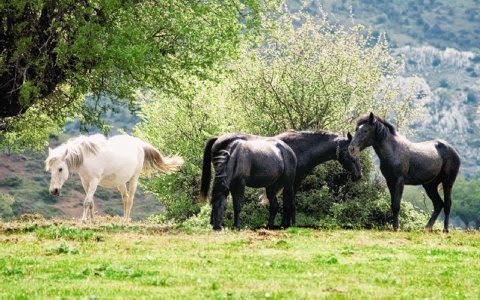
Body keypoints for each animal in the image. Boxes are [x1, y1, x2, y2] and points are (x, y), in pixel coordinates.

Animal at [45, 134, 184, 223]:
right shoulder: (85, 182)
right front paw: (92, 221)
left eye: (60, 169)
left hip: (134, 178)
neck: (86, 157)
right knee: (125, 198)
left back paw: (126, 221)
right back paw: (123, 220)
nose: (53, 191)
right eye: (50, 169)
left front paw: (83, 221)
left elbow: (86, 202)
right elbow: (91, 203)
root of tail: (139, 145)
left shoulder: (94, 181)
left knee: (131, 199)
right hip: (120, 182)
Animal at [201, 130, 362, 231]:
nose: (359, 175)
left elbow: (286, 203)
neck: (299, 149)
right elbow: (288, 202)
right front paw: (287, 223)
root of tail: (218, 139)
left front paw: (286, 223)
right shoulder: (292, 182)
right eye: (350, 151)